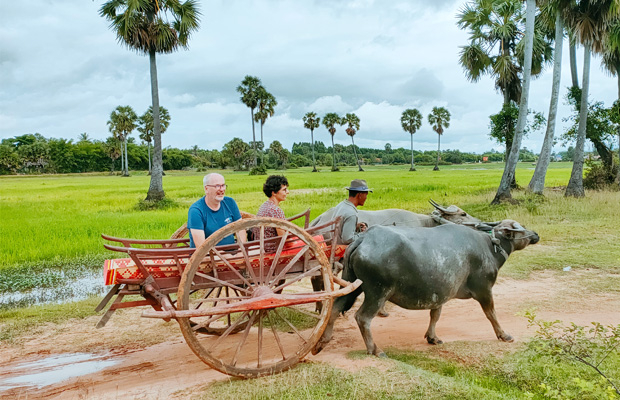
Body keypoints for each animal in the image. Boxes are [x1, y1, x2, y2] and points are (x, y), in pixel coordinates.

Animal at [312, 220, 540, 358]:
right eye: (519, 228)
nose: (535, 234)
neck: (489, 247)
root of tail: (363, 239)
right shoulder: (484, 290)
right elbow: (491, 313)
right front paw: (504, 335)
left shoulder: (439, 293)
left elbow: (435, 315)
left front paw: (432, 337)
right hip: (377, 292)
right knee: (363, 317)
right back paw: (374, 349)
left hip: (352, 284)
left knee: (335, 307)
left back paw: (322, 341)